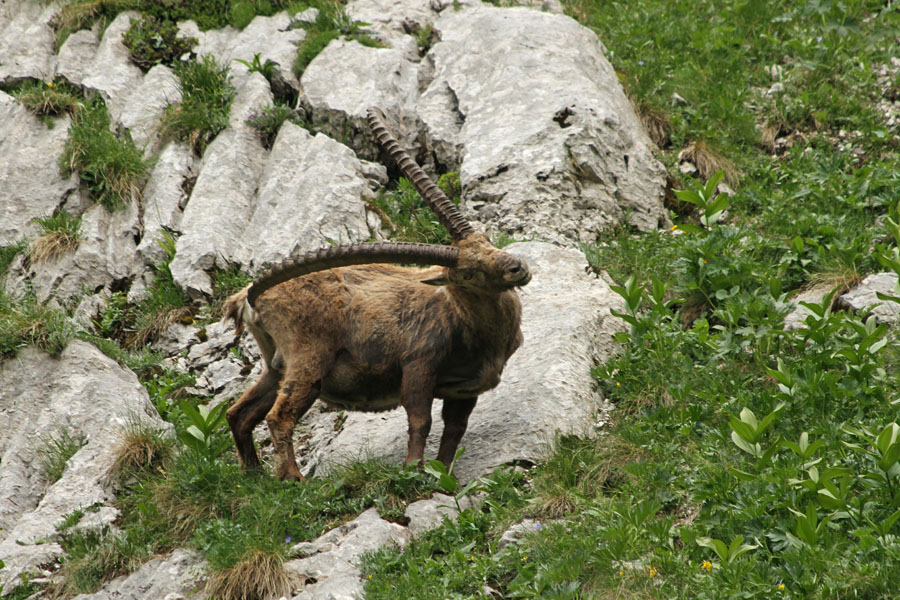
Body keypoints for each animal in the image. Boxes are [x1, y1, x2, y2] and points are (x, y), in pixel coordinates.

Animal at [222, 108, 530, 481]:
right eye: (468, 273)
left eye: (486, 240)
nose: (517, 267)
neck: (467, 322)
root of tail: (248, 301)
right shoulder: (419, 366)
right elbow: (420, 420)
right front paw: (414, 470)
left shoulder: (465, 389)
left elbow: (454, 431)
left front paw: (444, 476)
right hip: (308, 356)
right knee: (278, 416)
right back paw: (293, 479)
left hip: (275, 366)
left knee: (239, 413)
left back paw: (253, 474)